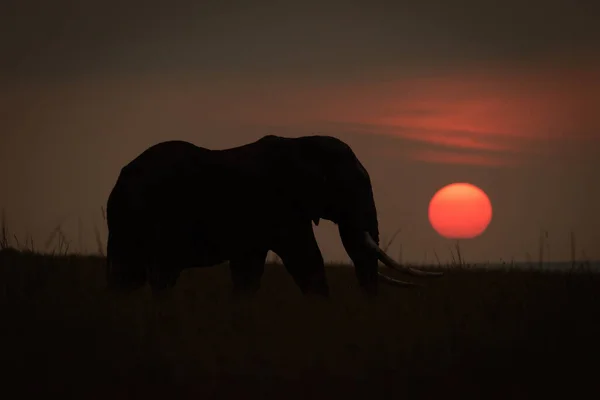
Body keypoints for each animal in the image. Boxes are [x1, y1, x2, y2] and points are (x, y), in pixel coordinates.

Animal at [105, 134, 438, 296]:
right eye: (352, 186)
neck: (302, 144)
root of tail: (120, 178)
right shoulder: (281, 204)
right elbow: (306, 259)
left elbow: (248, 271)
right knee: (155, 272)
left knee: (131, 275)